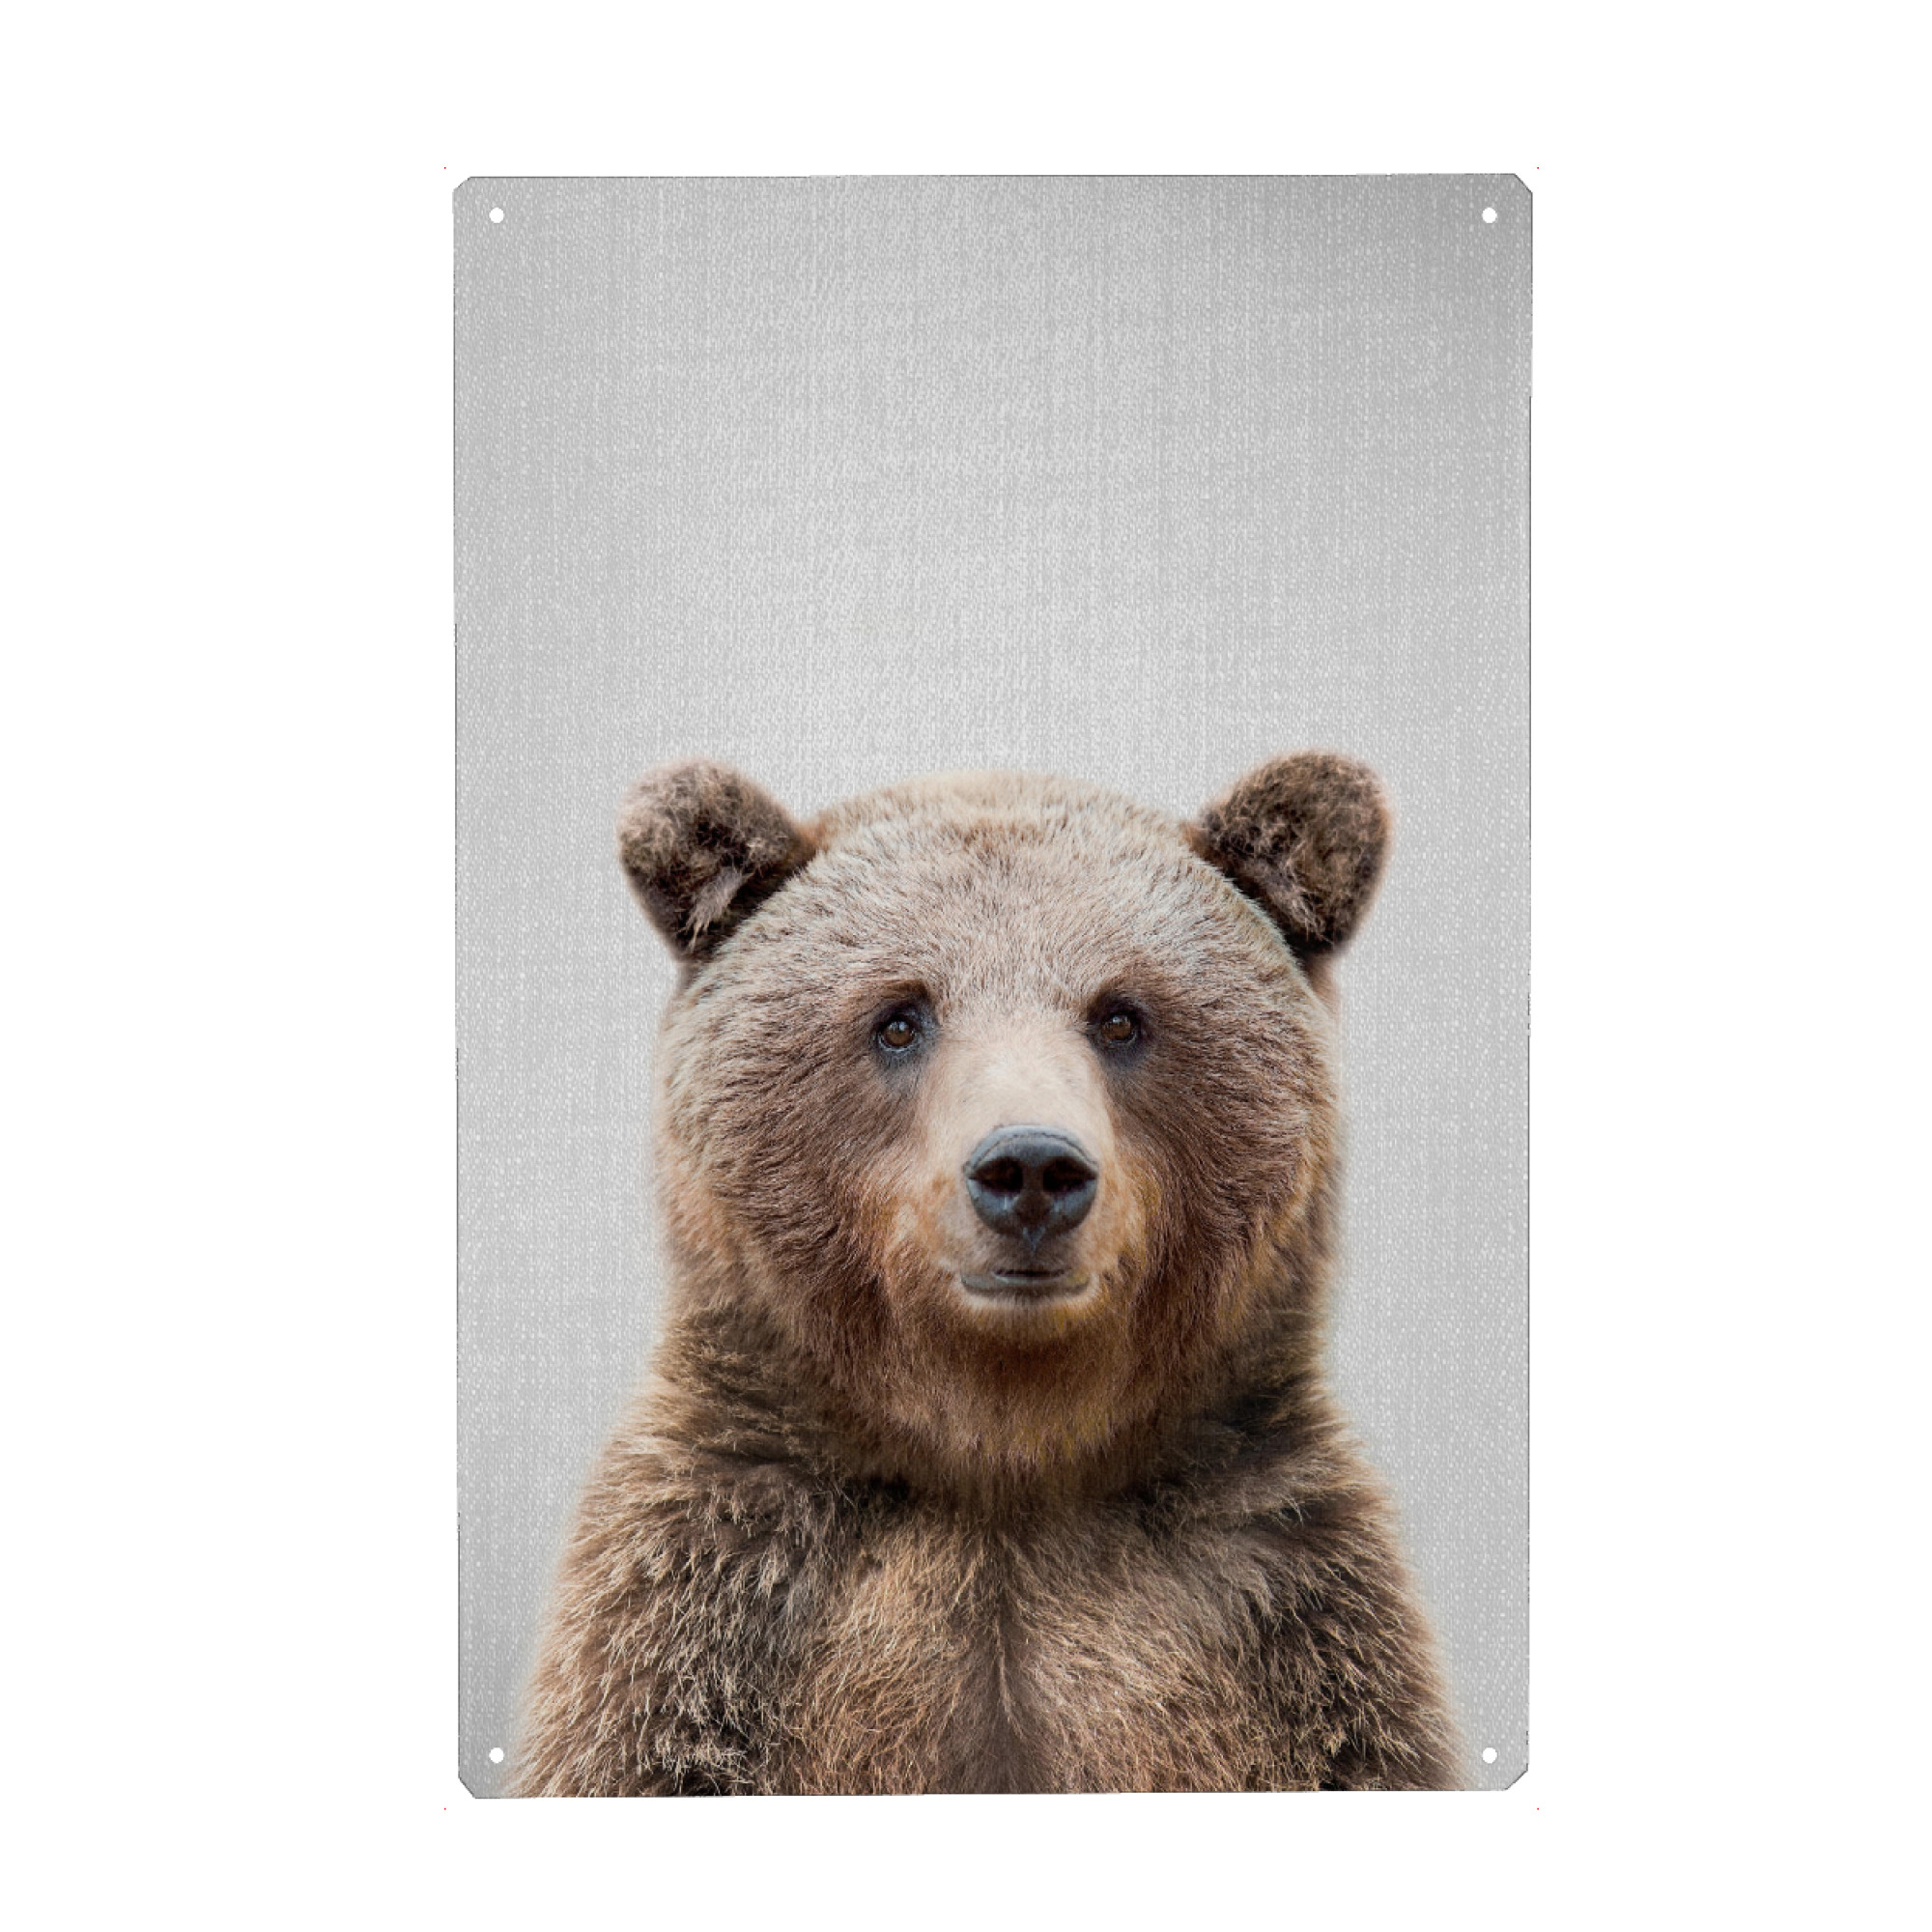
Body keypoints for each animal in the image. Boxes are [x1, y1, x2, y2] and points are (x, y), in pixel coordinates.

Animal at [511, 754, 1459, 1794]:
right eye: (898, 1017)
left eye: (1121, 1015)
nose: (1030, 1168)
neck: (1003, 1456)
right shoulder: (708, 1611)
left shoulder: (1287, 1622)